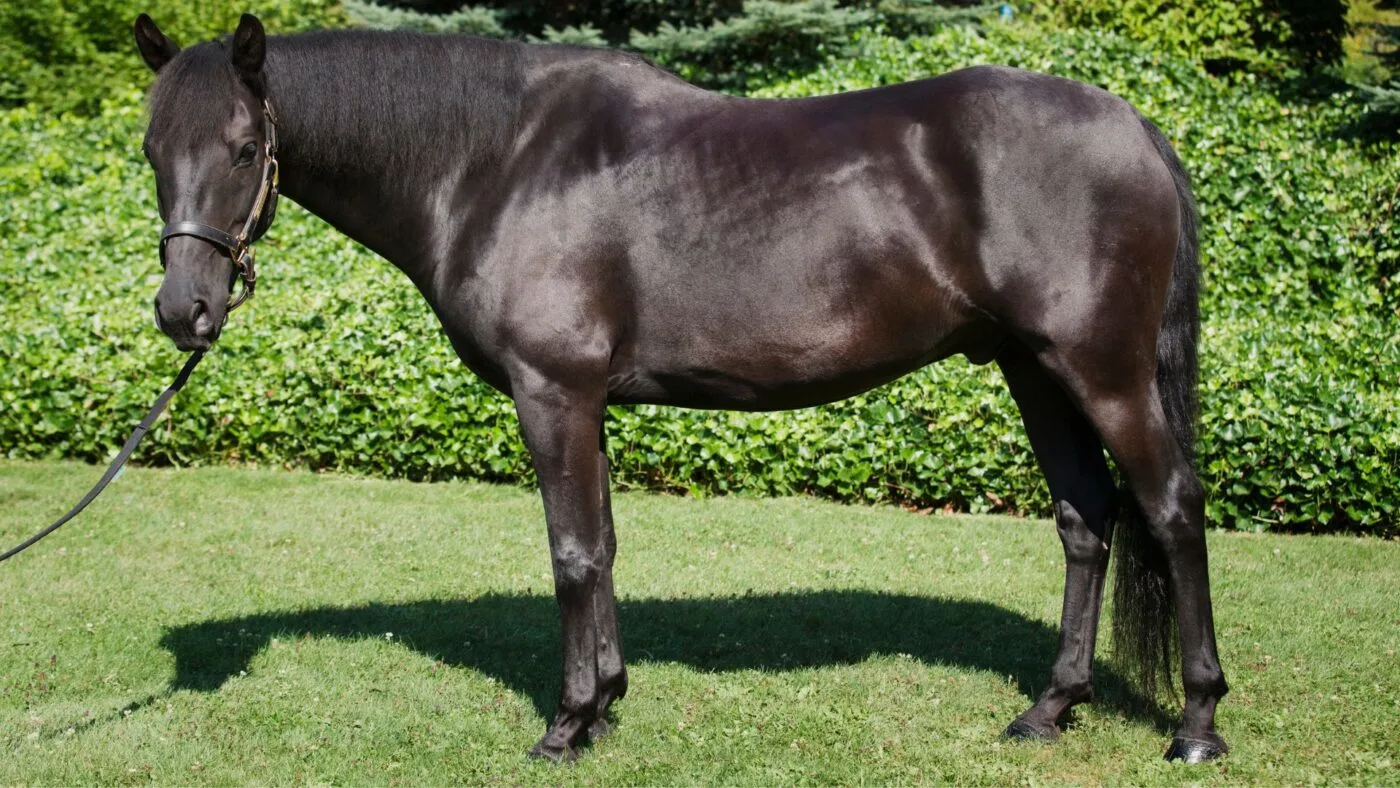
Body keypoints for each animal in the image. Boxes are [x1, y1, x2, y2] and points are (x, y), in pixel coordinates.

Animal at [131, 12, 1228, 763]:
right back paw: (1050, 707)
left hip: (1103, 371)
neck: (496, 160)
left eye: (243, 148)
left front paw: (566, 724)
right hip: (1033, 369)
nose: (185, 310)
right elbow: (606, 547)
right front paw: (608, 702)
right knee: (1085, 519)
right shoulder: (589, 401)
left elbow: (572, 554)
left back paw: (1196, 723)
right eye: (149, 151)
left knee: (1171, 510)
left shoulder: (553, 392)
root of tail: (1134, 127)